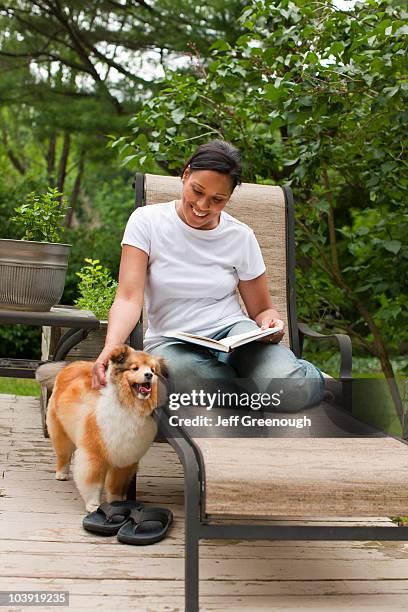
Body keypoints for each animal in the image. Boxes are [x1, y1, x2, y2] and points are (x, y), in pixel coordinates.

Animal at [35, 344, 167, 512]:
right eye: (135, 368)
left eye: (152, 370)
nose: (149, 375)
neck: (129, 406)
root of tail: (71, 364)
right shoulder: (94, 454)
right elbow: (93, 483)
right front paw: (93, 505)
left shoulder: (125, 458)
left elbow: (116, 486)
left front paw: (116, 503)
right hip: (61, 431)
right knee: (63, 455)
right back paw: (61, 474)